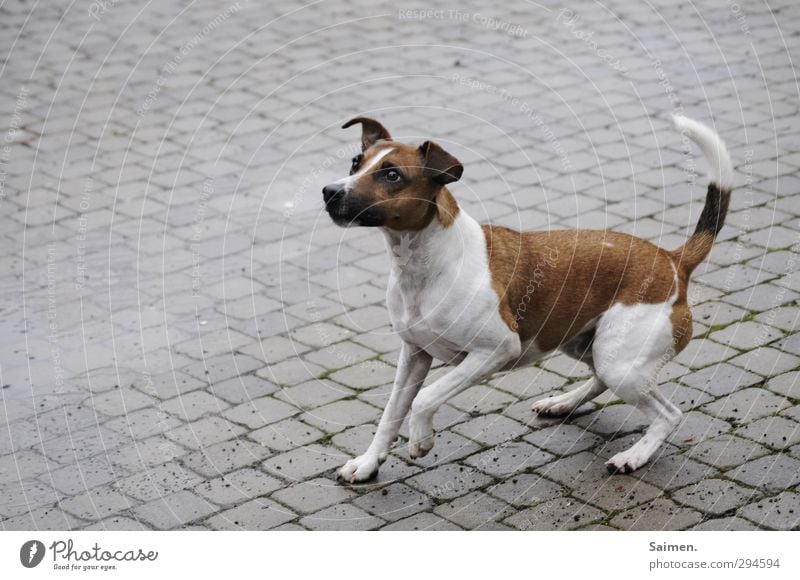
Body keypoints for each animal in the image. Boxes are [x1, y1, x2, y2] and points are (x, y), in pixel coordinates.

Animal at [324, 114, 732, 480]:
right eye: (356, 163)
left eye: (392, 175)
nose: (330, 192)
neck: (424, 264)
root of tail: (672, 261)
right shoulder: (414, 355)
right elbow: (391, 412)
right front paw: (368, 463)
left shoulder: (495, 350)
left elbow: (425, 398)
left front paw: (421, 439)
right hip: (587, 344)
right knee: (600, 379)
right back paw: (562, 402)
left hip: (621, 363)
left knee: (668, 415)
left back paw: (635, 455)